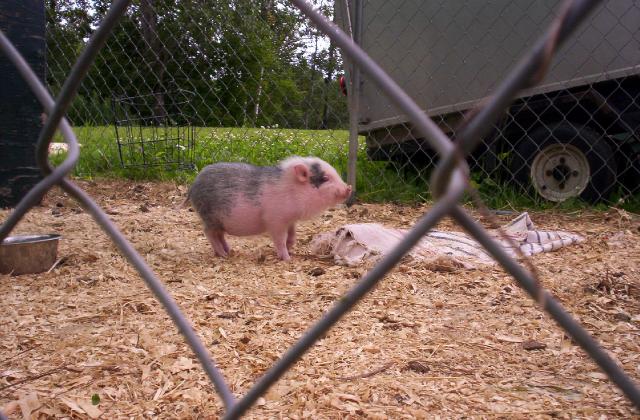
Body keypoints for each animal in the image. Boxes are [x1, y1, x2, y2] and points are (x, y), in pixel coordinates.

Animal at [184, 156, 352, 261]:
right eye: (325, 178)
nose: (349, 188)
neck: (291, 190)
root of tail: (193, 185)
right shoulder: (275, 220)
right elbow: (280, 239)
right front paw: (287, 258)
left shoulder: (290, 220)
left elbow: (292, 235)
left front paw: (290, 247)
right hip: (209, 216)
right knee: (208, 233)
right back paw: (223, 255)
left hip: (219, 221)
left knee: (219, 235)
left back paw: (228, 251)